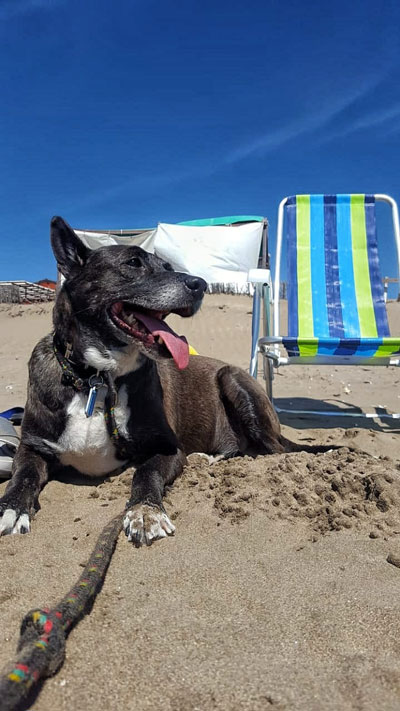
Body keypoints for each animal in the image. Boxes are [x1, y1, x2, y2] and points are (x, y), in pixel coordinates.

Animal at [0, 217, 296, 544]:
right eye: (133, 263)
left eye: (168, 267)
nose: (200, 285)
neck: (97, 379)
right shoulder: (32, 447)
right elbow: (22, 476)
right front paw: (12, 508)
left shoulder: (168, 448)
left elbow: (146, 473)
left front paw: (145, 511)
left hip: (233, 380)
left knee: (273, 453)